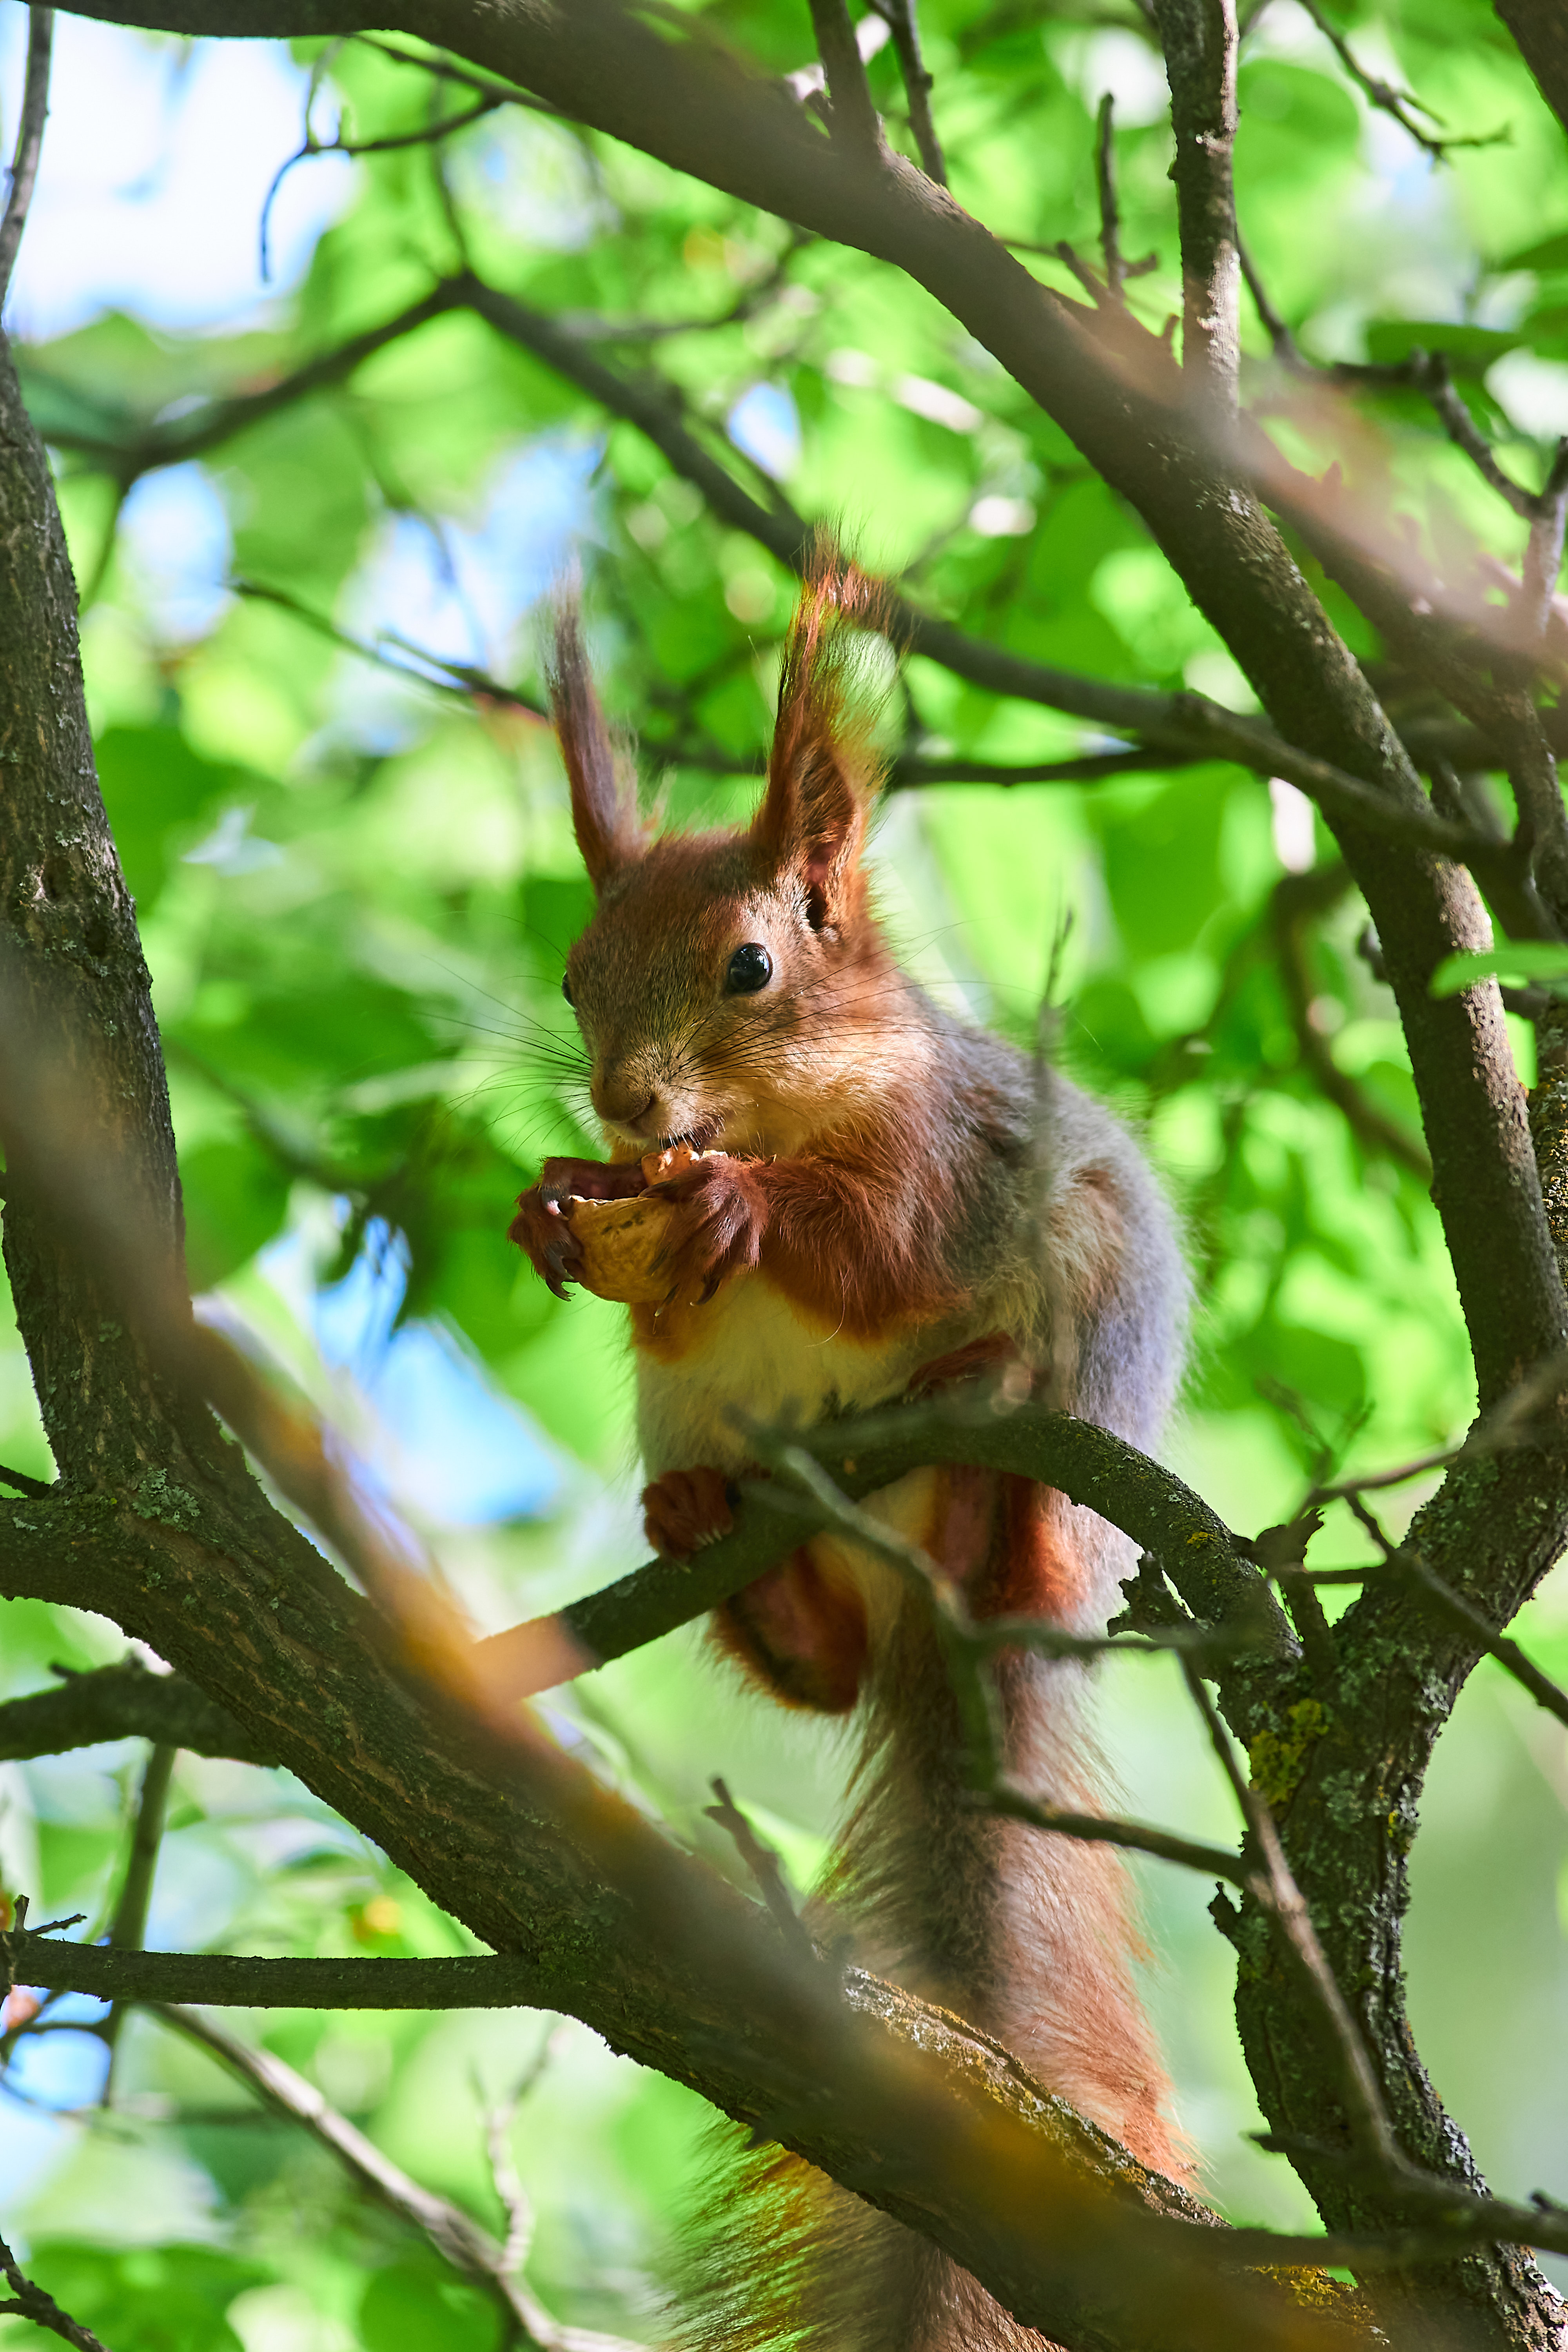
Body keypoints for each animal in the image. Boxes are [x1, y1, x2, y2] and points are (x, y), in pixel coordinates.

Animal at [515, 569, 1189, 2352]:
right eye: (574, 973)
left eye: (749, 965)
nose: (625, 1102)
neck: (793, 1107)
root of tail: (928, 1622)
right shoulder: (668, 1328)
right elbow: (651, 1290)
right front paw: (554, 1205)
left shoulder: (956, 1169)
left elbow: (873, 1251)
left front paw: (738, 1207)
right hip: (699, 1434)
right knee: (814, 1674)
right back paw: (720, 1543)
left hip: (1080, 1380)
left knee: (1023, 1521)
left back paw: (989, 1450)